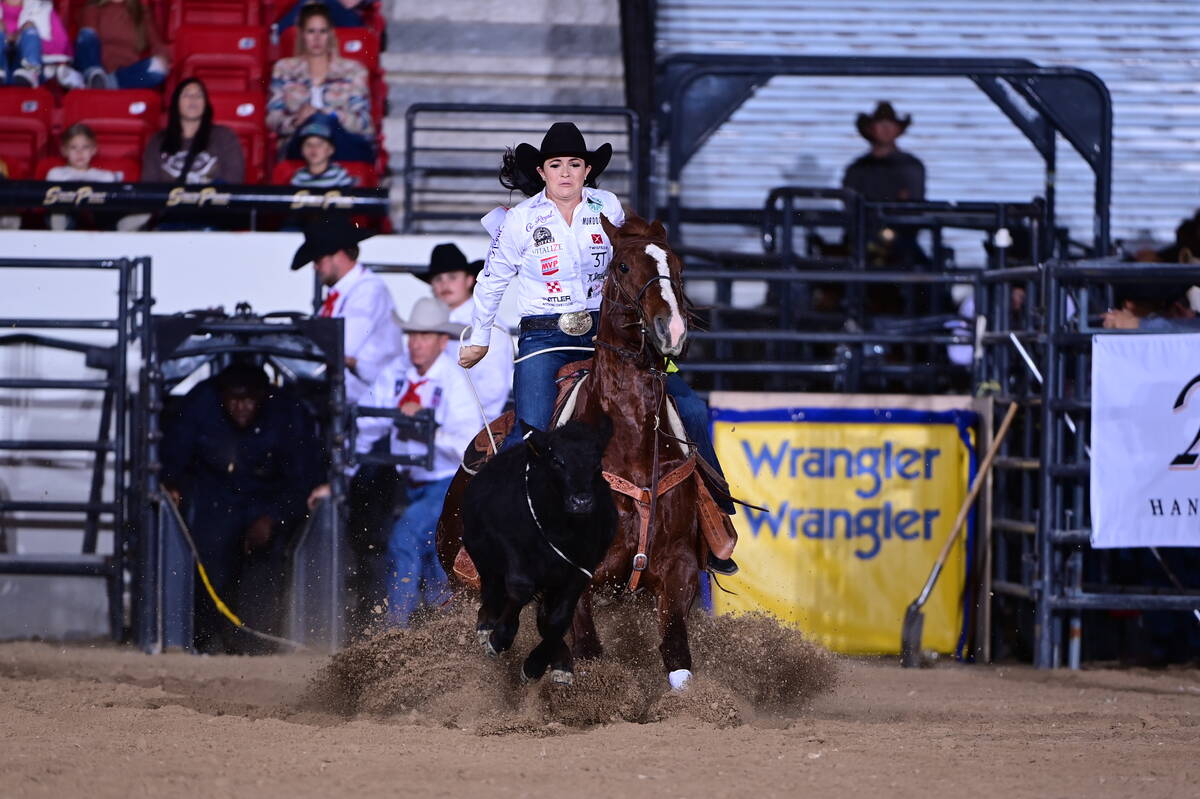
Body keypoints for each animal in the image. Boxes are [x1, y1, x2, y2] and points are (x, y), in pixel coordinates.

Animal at [460, 417, 619, 686]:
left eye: (597, 463)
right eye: (556, 460)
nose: (581, 501)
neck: (562, 530)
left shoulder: (581, 569)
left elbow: (558, 619)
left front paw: (535, 665)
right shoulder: (511, 547)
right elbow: (520, 588)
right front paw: (499, 638)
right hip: (481, 553)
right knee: (492, 590)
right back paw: (487, 625)